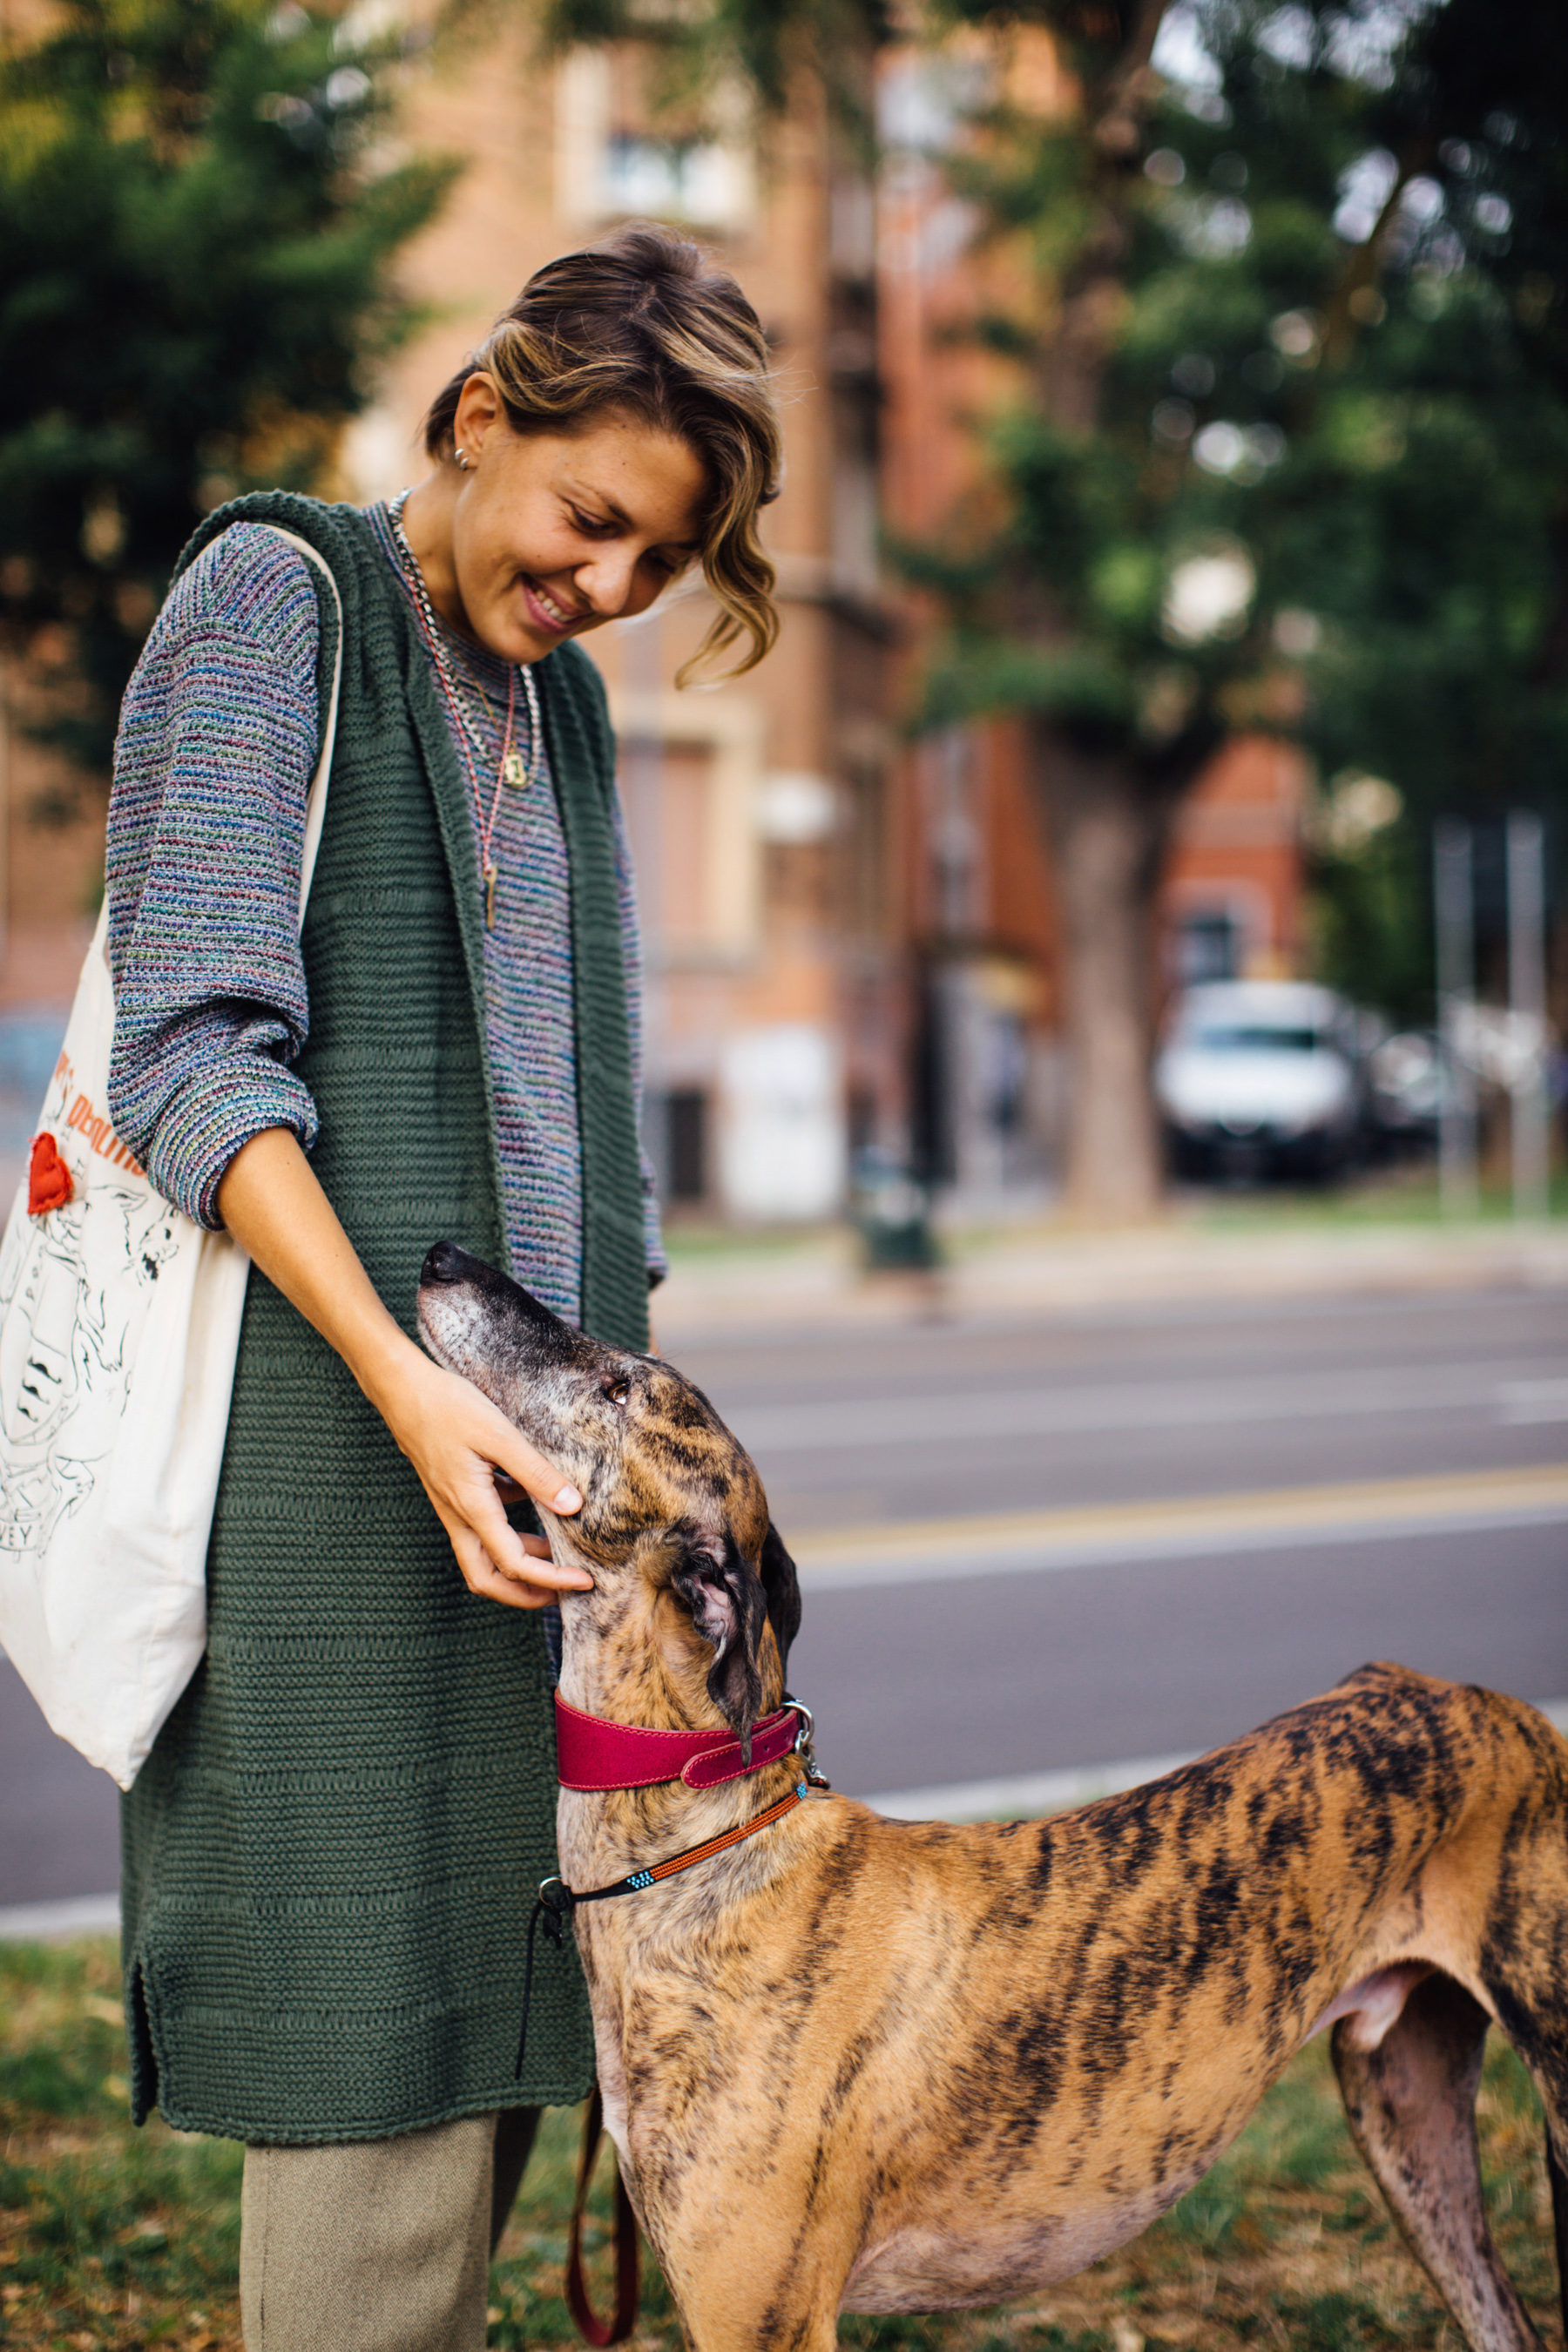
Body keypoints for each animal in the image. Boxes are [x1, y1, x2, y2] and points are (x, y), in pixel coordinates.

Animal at [416, 1241, 1568, 2342]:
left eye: (618, 1386)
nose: (439, 1257)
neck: (705, 1846)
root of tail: (1480, 1700)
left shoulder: (762, 2316)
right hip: (1406, 2117)